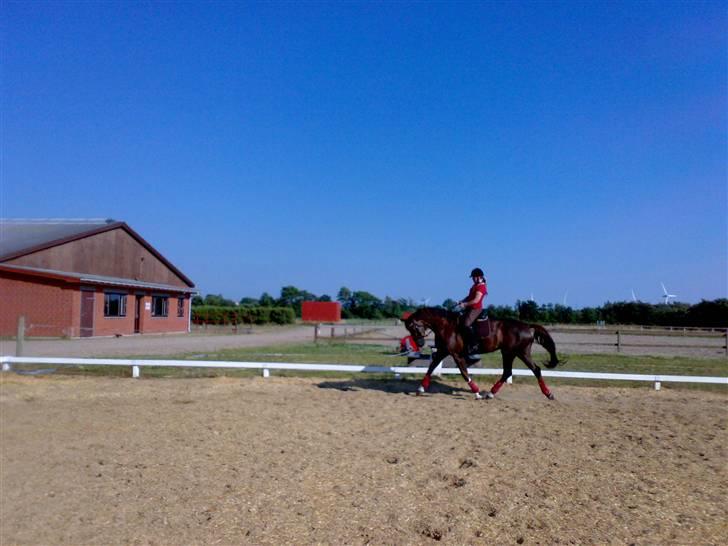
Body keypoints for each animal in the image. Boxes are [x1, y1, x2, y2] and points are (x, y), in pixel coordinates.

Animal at [404, 306, 564, 400]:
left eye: (413, 327)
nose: (420, 343)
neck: (446, 326)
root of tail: (528, 326)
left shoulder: (456, 354)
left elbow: (464, 373)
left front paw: (476, 392)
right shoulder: (443, 351)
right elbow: (431, 368)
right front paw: (420, 388)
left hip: (521, 353)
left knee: (535, 370)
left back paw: (548, 394)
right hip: (508, 352)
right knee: (507, 372)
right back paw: (491, 393)